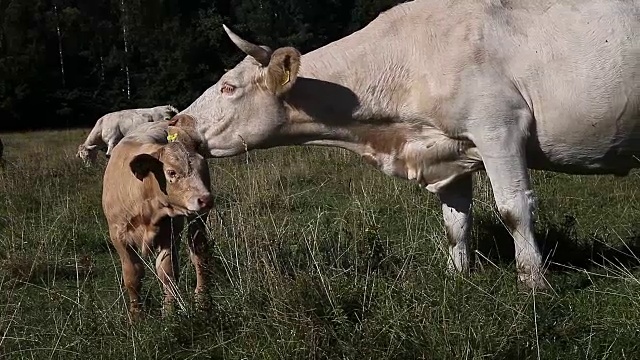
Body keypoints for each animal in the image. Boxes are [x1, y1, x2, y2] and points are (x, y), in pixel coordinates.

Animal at [176, 0, 640, 288]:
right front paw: (457, 279)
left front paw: (533, 286)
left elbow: (513, 210)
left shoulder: (499, 128)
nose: (179, 121)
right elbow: (456, 222)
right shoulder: (451, 152)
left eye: (228, 87)